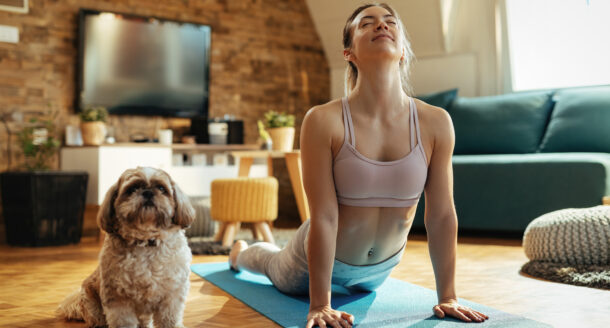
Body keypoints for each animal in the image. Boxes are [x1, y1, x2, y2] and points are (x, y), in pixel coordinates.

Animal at [56, 168, 194, 326]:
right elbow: (123, 321)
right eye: (132, 189)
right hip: (94, 308)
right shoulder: (118, 299)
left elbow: (169, 319)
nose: (148, 192)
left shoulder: (171, 296)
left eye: (161, 188)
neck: (146, 240)